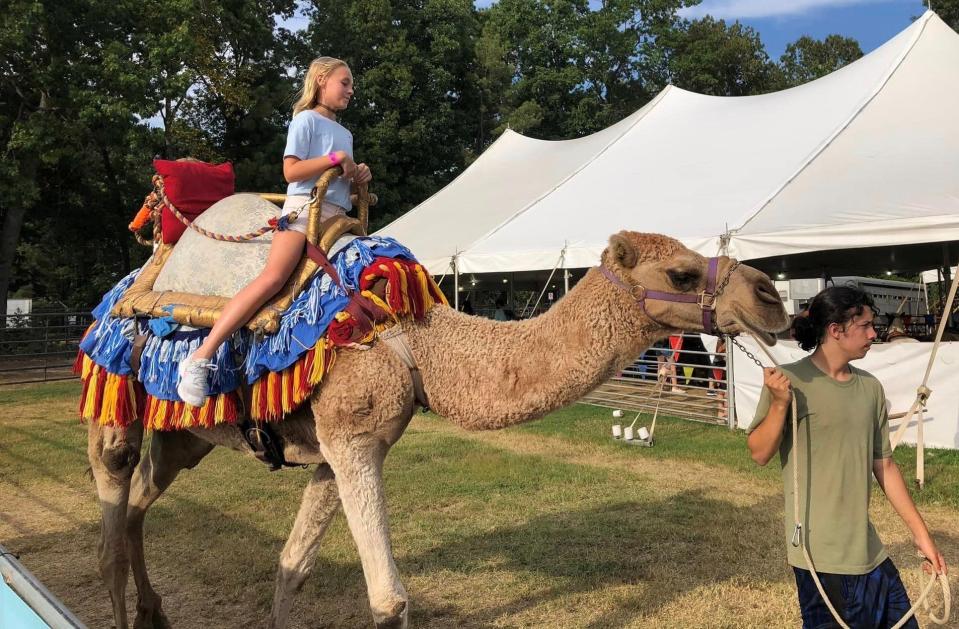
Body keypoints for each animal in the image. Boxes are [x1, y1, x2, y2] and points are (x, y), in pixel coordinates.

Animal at [84, 231, 788, 628]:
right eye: (681, 273)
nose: (771, 296)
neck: (420, 346)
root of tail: (114, 294)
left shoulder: (334, 452)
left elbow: (291, 567)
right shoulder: (354, 440)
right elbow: (389, 600)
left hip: (187, 435)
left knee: (144, 498)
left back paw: (154, 610)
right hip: (113, 395)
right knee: (111, 519)